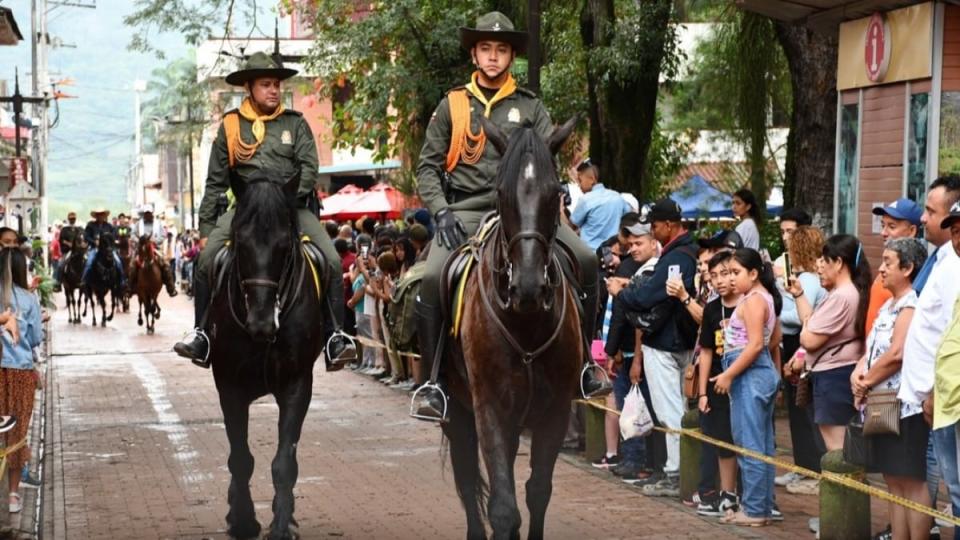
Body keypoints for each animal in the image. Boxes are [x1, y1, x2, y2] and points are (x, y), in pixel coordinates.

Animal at [208, 173, 324, 540]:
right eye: (240, 244)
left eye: (284, 246)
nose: (261, 323)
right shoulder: (229, 386)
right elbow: (240, 459)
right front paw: (244, 520)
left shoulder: (297, 384)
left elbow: (284, 462)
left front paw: (282, 524)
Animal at [440, 119, 576, 540]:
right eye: (501, 194)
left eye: (556, 193)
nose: (528, 288)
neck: (526, 321)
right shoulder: (489, 409)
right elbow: (502, 507)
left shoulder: (555, 412)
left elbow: (537, 491)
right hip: (457, 410)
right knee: (467, 476)